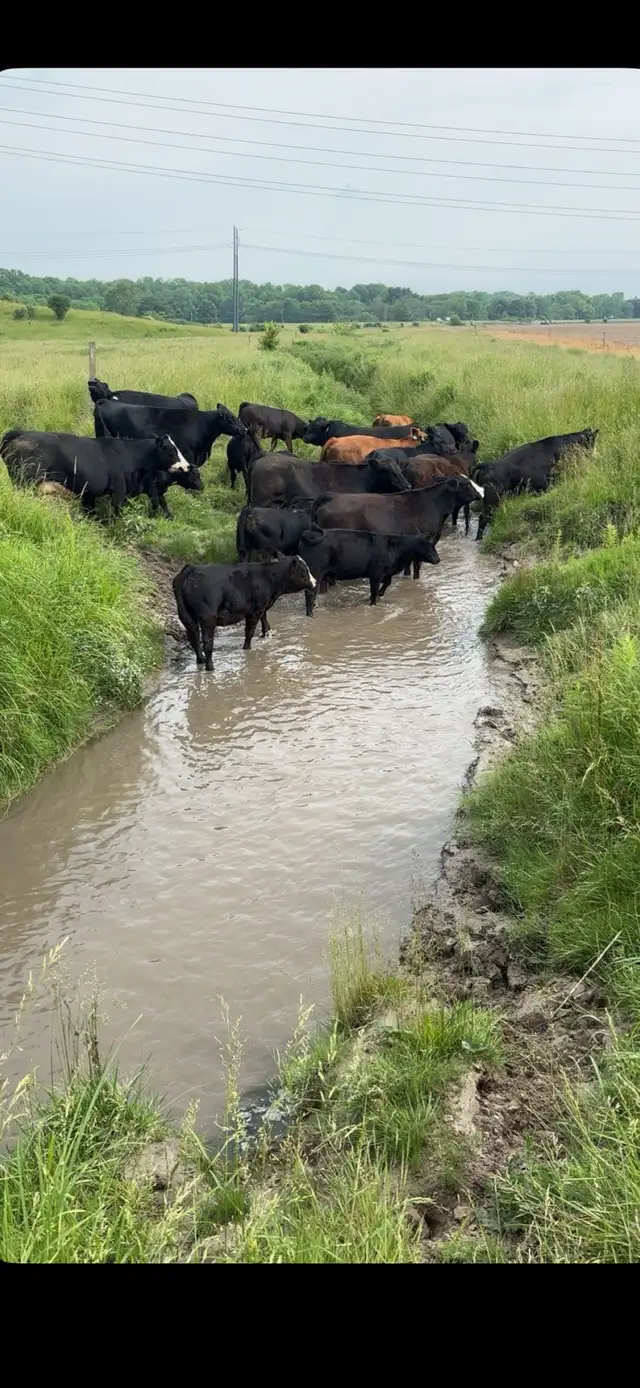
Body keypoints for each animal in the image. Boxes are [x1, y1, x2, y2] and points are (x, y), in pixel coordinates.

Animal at [0, 429, 201, 519]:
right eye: (170, 450)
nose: (186, 466)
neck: (130, 454)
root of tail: (20, 434)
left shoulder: (89, 493)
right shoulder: (119, 492)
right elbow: (117, 515)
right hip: (24, 483)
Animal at [172, 556, 317, 671]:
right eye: (304, 570)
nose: (315, 582)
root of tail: (190, 569)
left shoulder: (262, 607)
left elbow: (265, 621)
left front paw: (266, 635)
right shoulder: (256, 610)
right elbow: (249, 631)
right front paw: (247, 648)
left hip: (186, 617)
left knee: (194, 638)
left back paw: (201, 660)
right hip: (207, 618)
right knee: (207, 642)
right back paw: (210, 667)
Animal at [298, 529, 440, 612]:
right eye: (430, 545)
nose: (438, 559)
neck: (393, 547)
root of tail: (310, 534)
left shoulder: (387, 572)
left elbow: (386, 583)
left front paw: (380, 594)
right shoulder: (376, 574)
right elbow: (373, 593)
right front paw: (373, 603)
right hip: (316, 573)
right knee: (310, 594)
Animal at [313, 476, 484, 579]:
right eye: (466, 483)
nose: (481, 492)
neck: (433, 504)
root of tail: (331, 495)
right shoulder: (424, 543)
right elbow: (417, 566)